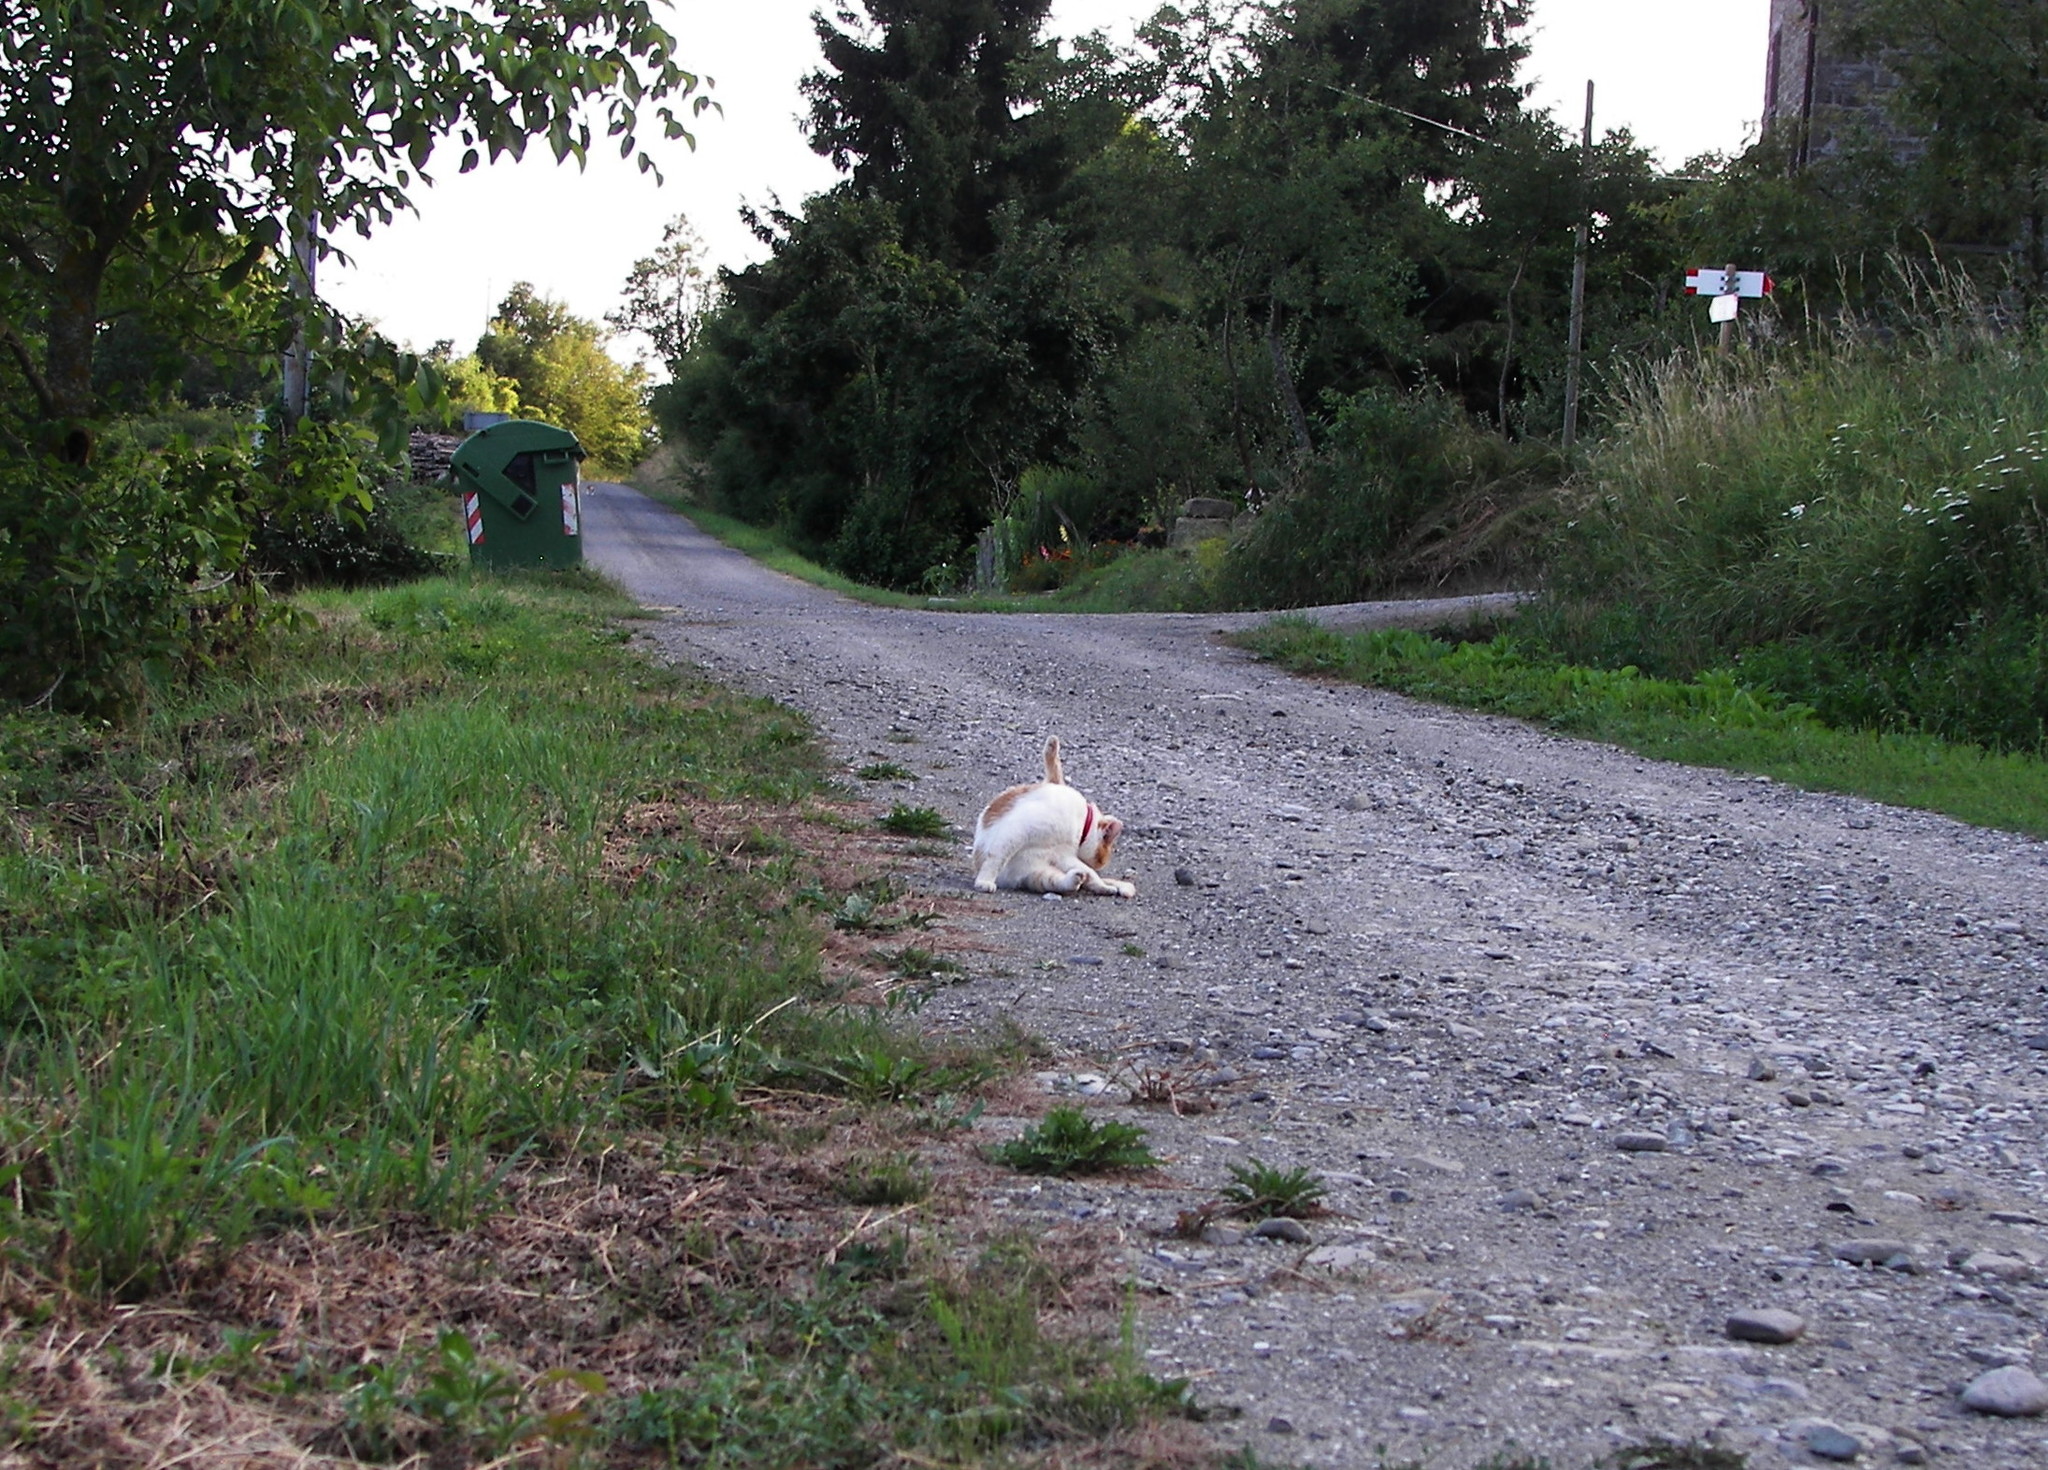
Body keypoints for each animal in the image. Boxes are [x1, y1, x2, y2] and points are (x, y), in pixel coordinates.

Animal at [962, 737, 1130, 896]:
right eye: (1102, 858)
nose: (1101, 865)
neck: (1081, 824)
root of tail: (1008, 879)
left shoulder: (1064, 856)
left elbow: (1091, 874)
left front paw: (1103, 886)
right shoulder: (1017, 830)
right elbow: (996, 858)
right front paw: (984, 881)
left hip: (1038, 873)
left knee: (1057, 882)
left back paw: (1076, 879)